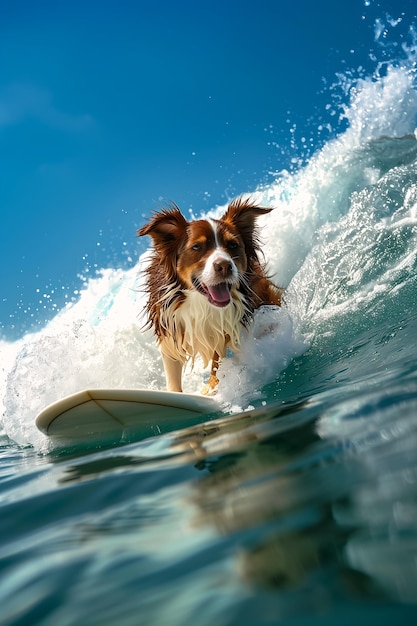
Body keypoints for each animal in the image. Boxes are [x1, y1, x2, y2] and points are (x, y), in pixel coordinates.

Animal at [138, 195, 282, 392]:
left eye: (233, 245)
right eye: (197, 247)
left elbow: (217, 363)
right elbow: (173, 379)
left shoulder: (227, 326)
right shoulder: (170, 331)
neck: (200, 303)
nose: (225, 266)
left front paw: (211, 389)